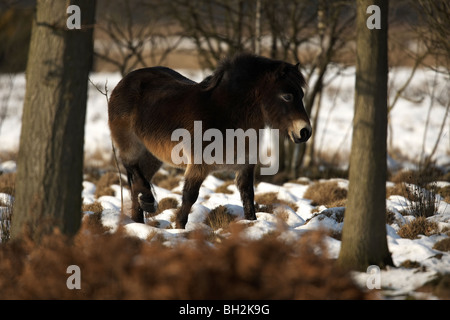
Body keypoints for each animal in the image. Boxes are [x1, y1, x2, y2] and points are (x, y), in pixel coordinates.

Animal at [109, 53, 312, 228]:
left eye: (301, 95)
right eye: (287, 96)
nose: (305, 132)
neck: (227, 114)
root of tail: (125, 81)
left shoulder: (245, 167)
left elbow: (248, 199)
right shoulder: (198, 166)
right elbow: (189, 197)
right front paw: (179, 230)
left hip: (153, 155)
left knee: (136, 182)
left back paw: (138, 222)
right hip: (130, 144)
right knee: (130, 166)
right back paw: (148, 202)